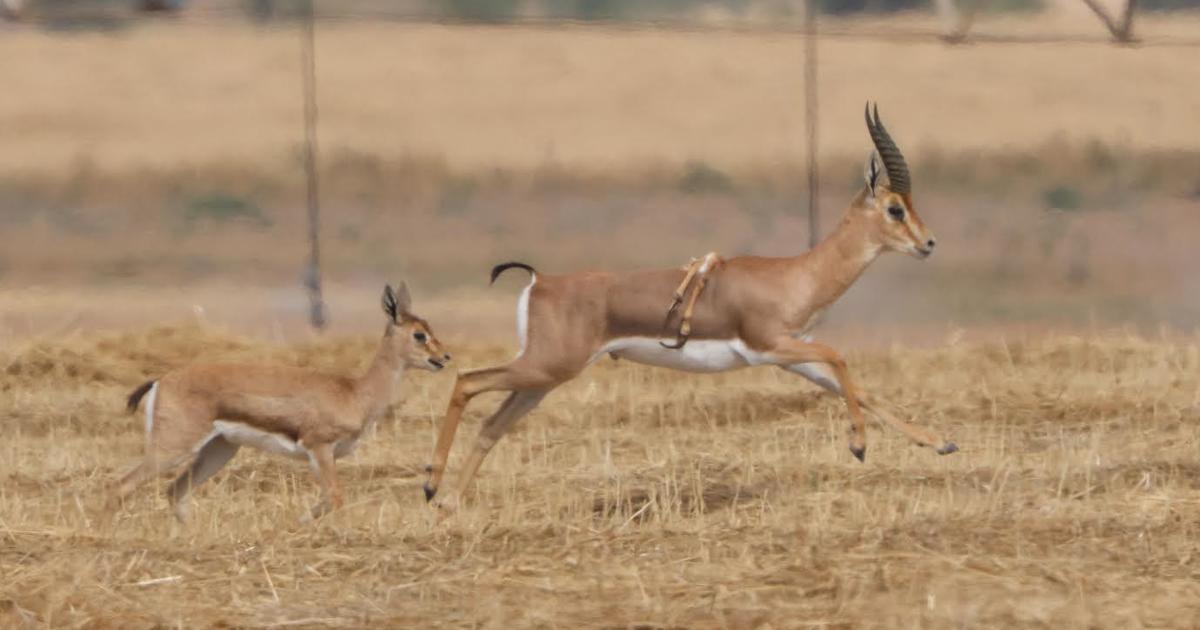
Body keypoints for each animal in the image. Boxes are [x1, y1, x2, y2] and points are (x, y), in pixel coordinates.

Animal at [112, 283, 451, 522]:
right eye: (419, 335)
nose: (444, 357)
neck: (354, 392)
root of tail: (161, 380)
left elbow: (331, 499)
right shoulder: (319, 448)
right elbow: (335, 498)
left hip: (219, 449)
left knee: (175, 491)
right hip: (173, 449)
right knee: (122, 485)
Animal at [423, 104, 958, 508]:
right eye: (895, 208)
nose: (929, 243)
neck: (796, 275)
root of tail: (540, 281)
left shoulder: (791, 357)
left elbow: (859, 387)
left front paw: (940, 442)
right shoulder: (771, 345)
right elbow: (841, 358)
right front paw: (859, 446)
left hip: (543, 379)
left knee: (491, 424)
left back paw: (448, 504)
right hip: (546, 368)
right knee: (466, 380)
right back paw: (430, 483)